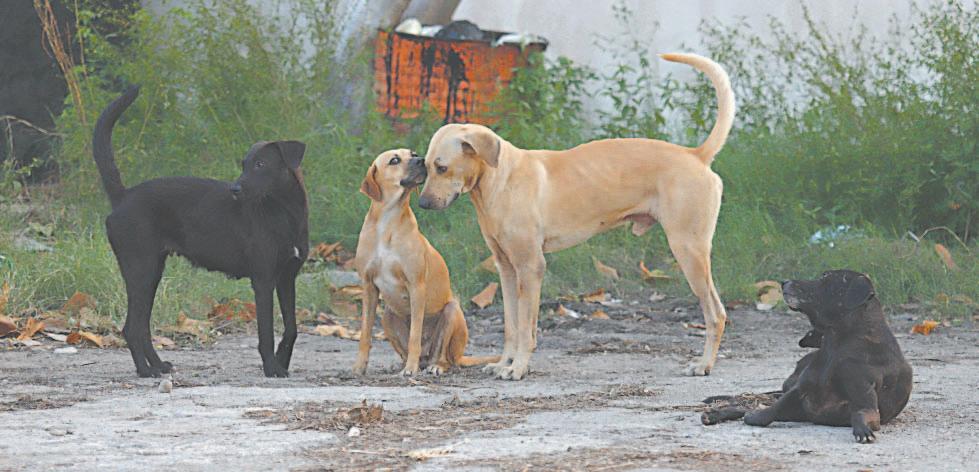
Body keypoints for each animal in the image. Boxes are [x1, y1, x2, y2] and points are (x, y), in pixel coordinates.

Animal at [92, 86, 308, 378]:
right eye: (244, 164)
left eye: (261, 164)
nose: (235, 189)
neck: (284, 213)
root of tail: (123, 197)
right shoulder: (263, 281)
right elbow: (266, 332)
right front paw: (271, 366)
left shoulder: (287, 278)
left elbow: (291, 327)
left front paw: (281, 361)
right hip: (141, 270)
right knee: (131, 327)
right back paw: (145, 370)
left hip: (151, 272)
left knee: (141, 325)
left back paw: (158, 365)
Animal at [352, 149, 498, 376]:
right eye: (394, 160)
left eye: (412, 153)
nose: (422, 160)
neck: (387, 224)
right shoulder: (368, 286)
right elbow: (365, 333)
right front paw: (360, 365)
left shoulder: (416, 286)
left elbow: (415, 336)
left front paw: (410, 370)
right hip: (387, 315)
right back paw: (403, 364)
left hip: (451, 312)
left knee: (444, 358)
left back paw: (434, 366)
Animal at [405, 53, 734, 380]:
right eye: (426, 166)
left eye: (442, 167)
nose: (422, 203)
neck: (501, 181)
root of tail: (696, 155)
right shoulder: (507, 269)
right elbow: (511, 326)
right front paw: (504, 363)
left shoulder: (531, 267)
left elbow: (526, 329)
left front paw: (519, 367)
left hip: (689, 252)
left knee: (716, 314)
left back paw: (704, 364)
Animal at [740, 270, 913, 443]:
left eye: (825, 280)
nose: (784, 282)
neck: (836, 345)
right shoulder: (800, 388)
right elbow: (777, 406)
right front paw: (756, 416)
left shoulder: (866, 404)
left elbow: (861, 414)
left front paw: (863, 430)